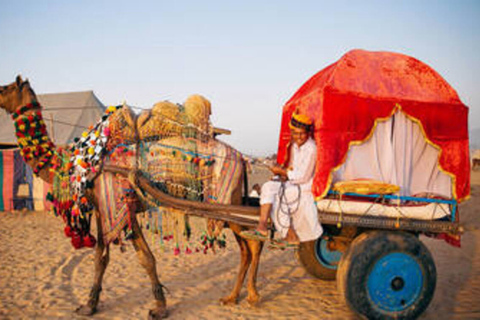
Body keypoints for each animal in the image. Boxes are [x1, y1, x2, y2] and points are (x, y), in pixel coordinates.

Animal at [0, 76, 266, 318]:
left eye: (7, 88)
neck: (79, 162)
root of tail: (243, 159)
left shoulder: (115, 203)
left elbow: (123, 257)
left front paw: (95, 305)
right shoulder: (110, 208)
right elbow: (116, 256)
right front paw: (103, 304)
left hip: (226, 203)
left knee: (254, 242)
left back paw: (251, 296)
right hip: (230, 204)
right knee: (248, 245)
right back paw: (232, 297)